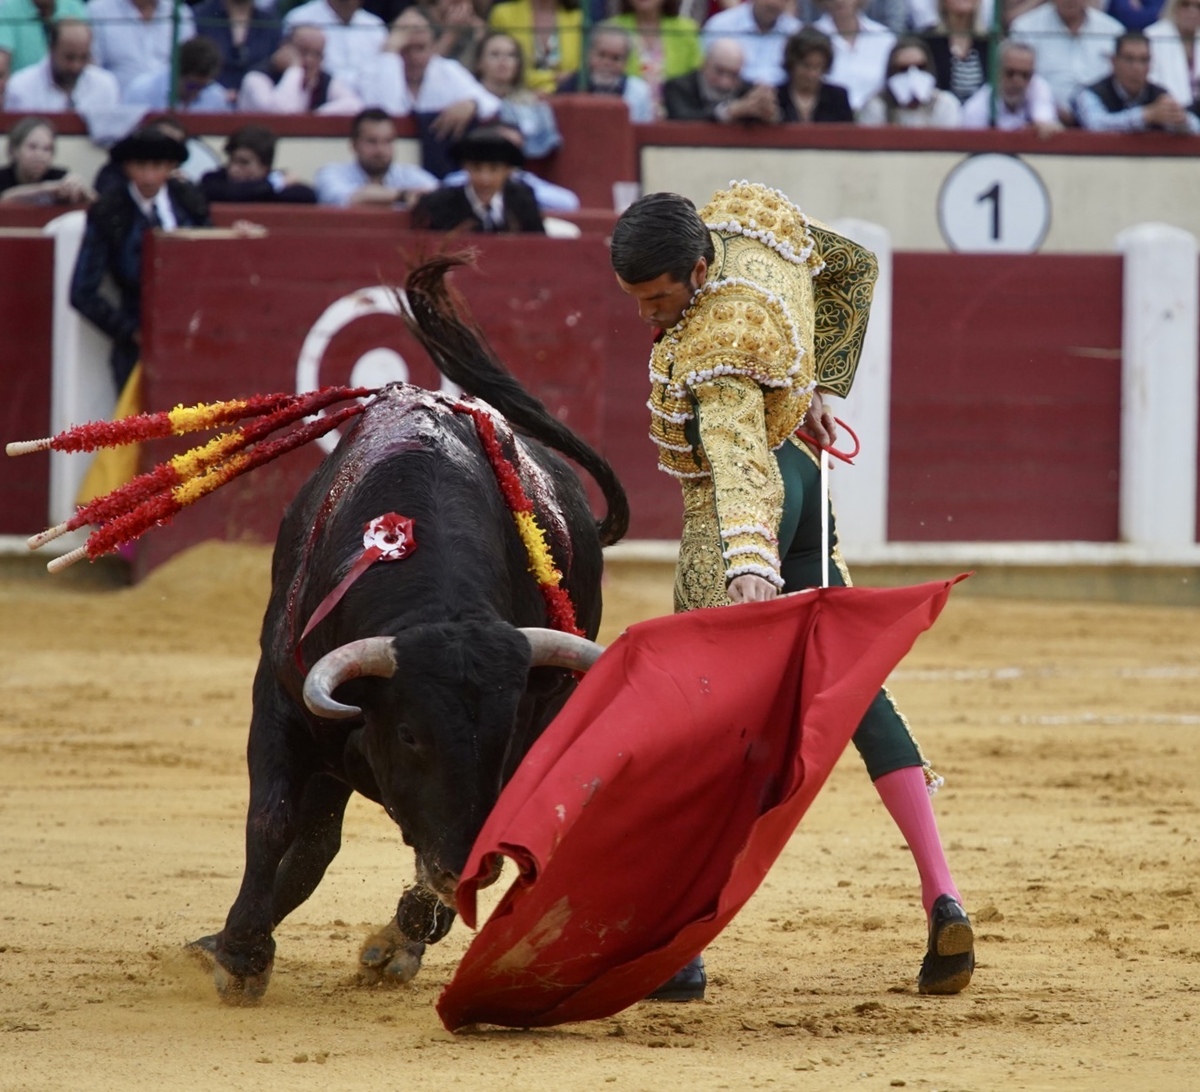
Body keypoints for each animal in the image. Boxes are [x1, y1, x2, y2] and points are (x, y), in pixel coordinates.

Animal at [189, 256, 628, 998]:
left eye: (502, 734)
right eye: (411, 734)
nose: (460, 863)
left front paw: (401, 933)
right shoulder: (279, 698)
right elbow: (271, 821)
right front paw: (241, 953)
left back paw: (397, 939)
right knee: (314, 840)